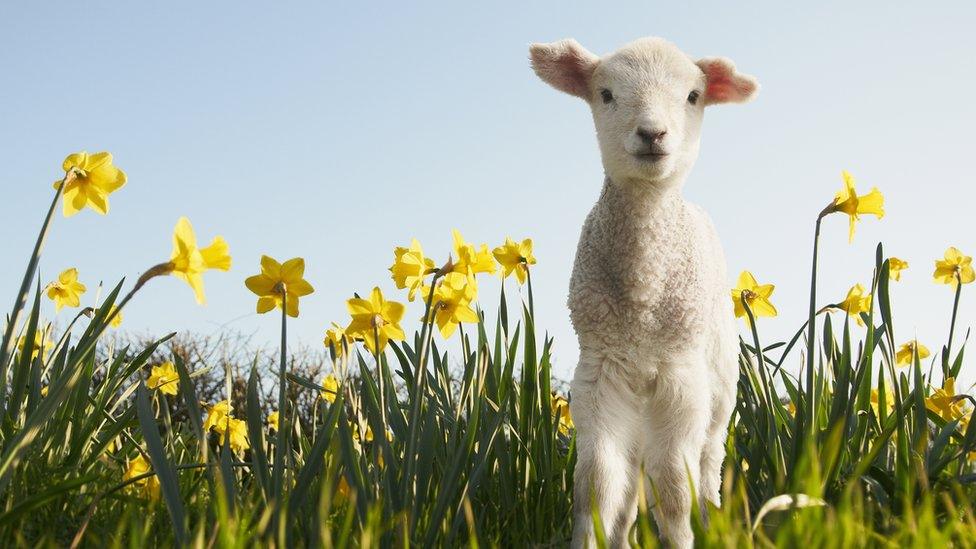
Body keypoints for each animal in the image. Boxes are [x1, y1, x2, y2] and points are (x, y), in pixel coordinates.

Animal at [528, 36, 760, 544]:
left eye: (693, 96)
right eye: (606, 94)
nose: (653, 134)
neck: (642, 301)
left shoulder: (680, 373)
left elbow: (673, 482)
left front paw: (682, 539)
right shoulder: (601, 369)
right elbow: (597, 482)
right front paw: (591, 540)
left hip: (720, 391)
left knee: (706, 466)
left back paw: (710, 521)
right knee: (632, 480)